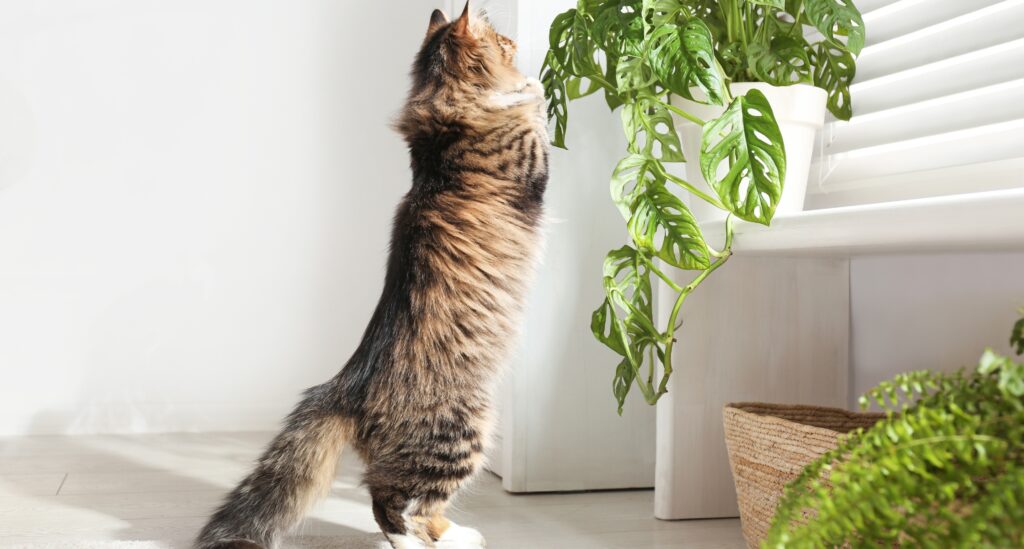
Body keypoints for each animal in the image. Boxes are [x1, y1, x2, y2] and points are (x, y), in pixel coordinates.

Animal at [196, 4, 548, 549]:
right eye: (505, 42)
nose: (516, 41)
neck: (443, 118)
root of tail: (348, 385)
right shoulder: (530, 161)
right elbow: (534, 111)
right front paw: (532, 85)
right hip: (463, 433)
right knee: (395, 505)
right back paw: (442, 540)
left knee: (398, 504)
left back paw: (451, 535)